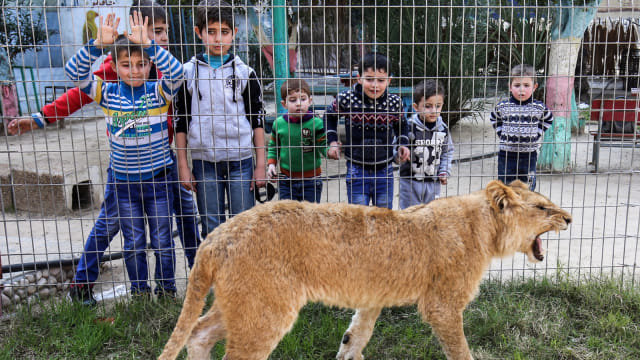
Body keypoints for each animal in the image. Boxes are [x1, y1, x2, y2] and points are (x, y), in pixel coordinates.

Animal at [159, 180, 568, 360]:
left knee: (198, 333)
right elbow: (461, 351)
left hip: (246, 304)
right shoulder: (443, 305)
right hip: (265, 311)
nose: (569, 217)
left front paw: (348, 352)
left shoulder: (372, 297)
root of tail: (216, 236)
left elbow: (357, 334)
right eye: (542, 208)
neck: (483, 227)